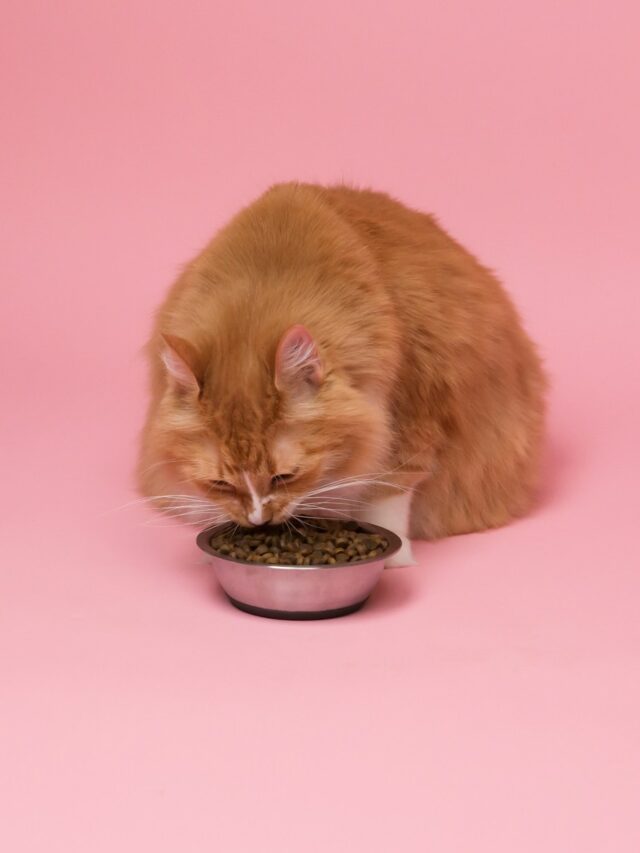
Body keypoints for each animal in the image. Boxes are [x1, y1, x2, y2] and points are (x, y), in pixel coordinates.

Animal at [139, 181, 544, 564]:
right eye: (220, 483)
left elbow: (388, 495)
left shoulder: (410, 418)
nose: (259, 520)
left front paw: (397, 562)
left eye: (285, 476)